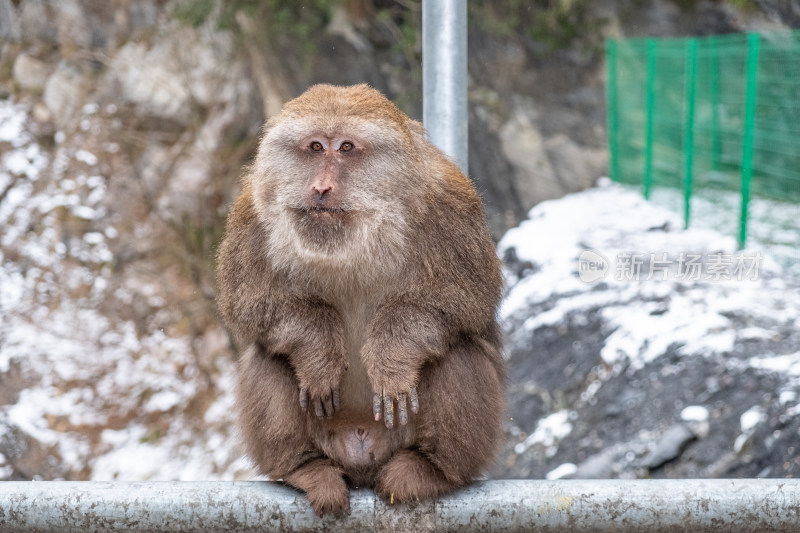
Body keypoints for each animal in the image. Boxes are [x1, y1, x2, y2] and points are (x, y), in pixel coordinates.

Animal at [217, 83, 506, 516]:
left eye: (347, 147)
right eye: (316, 147)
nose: (320, 188)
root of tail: (361, 452)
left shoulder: (450, 206)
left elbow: (465, 299)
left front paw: (392, 356)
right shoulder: (251, 213)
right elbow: (250, 303)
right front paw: (318, 352)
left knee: (458, 350)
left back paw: (432, 469)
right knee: (270, 357)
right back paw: (304, 469)